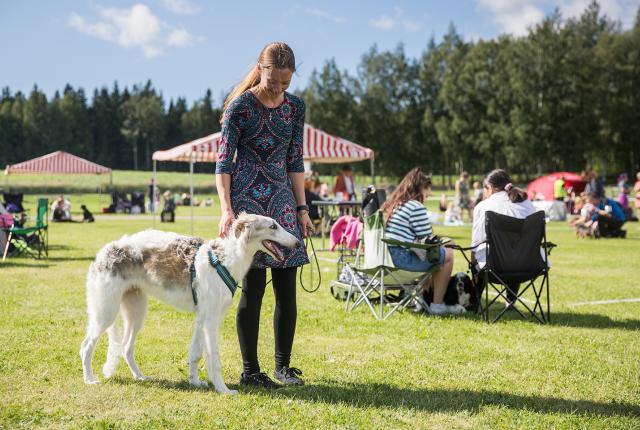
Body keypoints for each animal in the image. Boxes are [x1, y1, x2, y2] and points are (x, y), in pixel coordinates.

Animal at [80, 213, 300, 394]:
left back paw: (140, 376)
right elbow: (214, 359)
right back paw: (90, 379)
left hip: (136, 311)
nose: (298, 243)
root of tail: (105, 251)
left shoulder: (202, 317)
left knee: (126, 347)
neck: (225, 259)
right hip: (106, 311)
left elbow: (195, 353)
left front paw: (195, 381)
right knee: (86, 346)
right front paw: (223, 389)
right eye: (273, 226)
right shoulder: (211, 320)